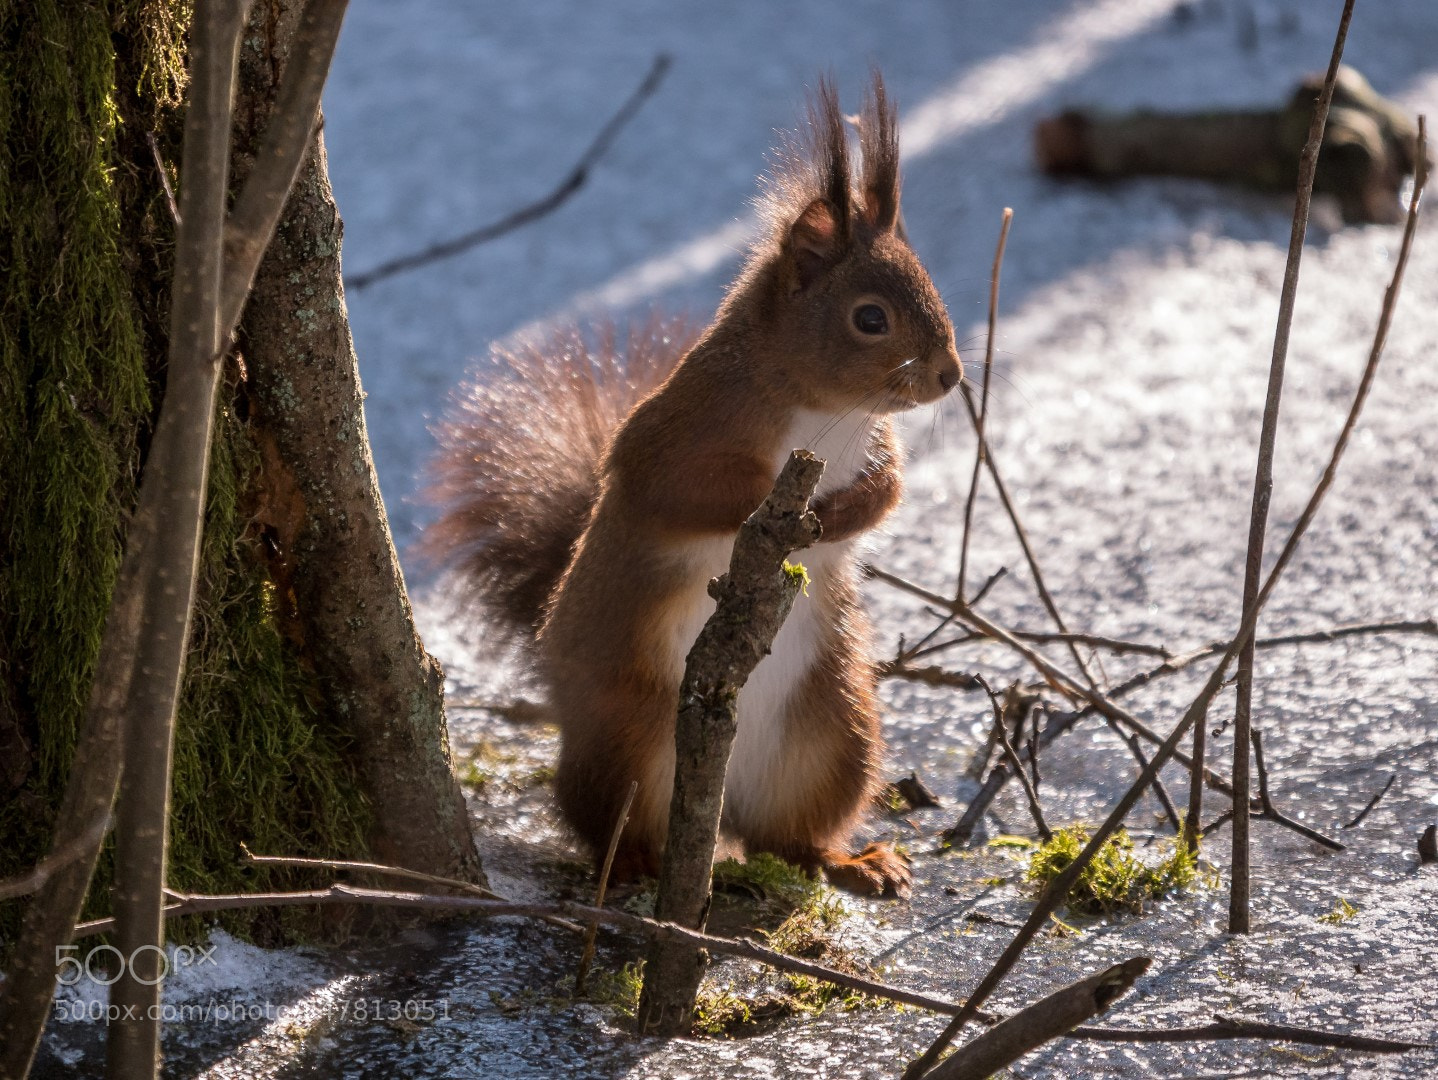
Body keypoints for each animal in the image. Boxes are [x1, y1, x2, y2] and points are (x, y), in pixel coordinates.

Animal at [424, 73, 962, 897]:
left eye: (931, 284)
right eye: (870, 319)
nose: (951, 376)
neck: (823, 412)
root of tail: (722, 809)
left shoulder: (876, 443)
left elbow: (890, 491)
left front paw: (842, 514)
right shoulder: (673, 436)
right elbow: (685, 491)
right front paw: (788, 512)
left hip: (836, 733)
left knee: (788, 837)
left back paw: (850, 860)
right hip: (632, 740)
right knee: (603, 816)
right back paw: (635, 864)